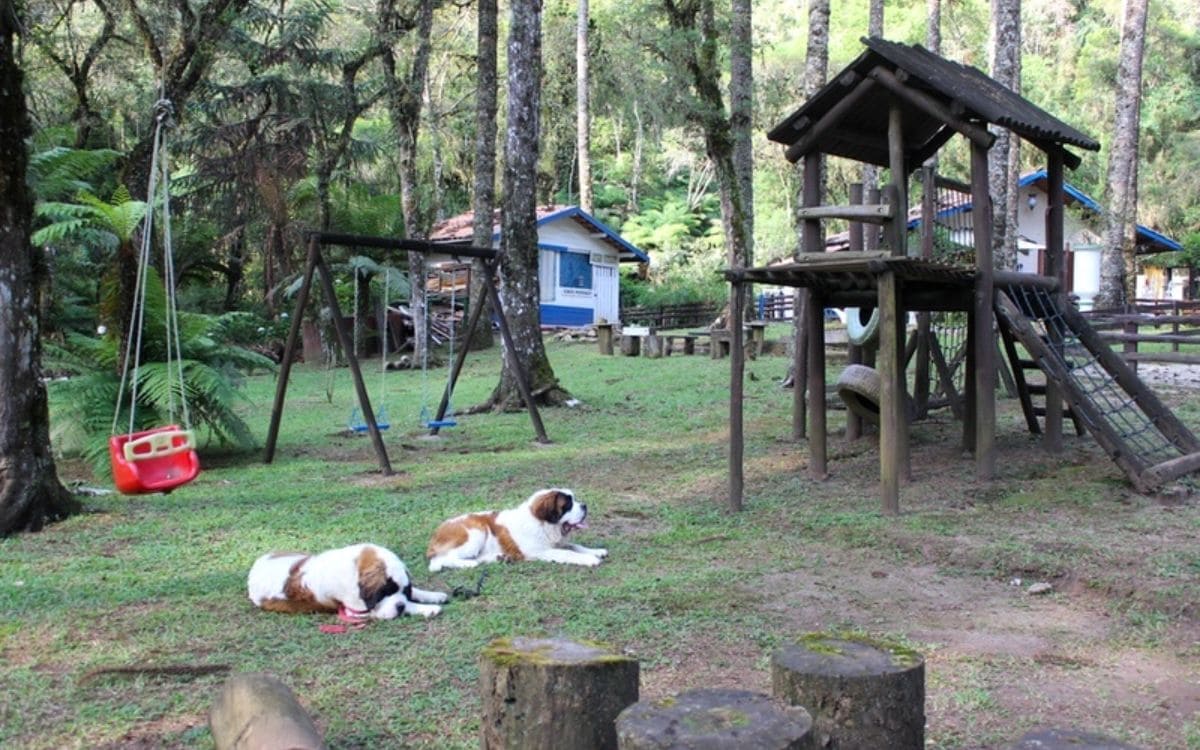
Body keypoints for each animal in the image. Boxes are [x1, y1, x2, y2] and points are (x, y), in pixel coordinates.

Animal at [246, 540, 448, 624]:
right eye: (384, 592)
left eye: (403, 590)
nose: (399, 605)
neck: (355, 571)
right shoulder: (357, 610)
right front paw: (427, 609)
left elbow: (416, 592)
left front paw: (433, 595)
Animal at [424, 489, 609, 571]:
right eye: (568, 505)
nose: (584, 506)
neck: (542, 524)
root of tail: (436, 533)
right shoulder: (540, 551)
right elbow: (567, 553)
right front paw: (589, 559)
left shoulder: (556, 542)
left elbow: (573, 546)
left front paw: (595, 551)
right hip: (476, 532)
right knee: (440, 560)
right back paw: (468, 563)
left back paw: (501, 558)